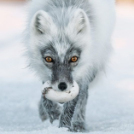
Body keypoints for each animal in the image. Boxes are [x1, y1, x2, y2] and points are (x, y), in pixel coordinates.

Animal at [25, 0, 115, 132]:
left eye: (74, 58)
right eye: (49, 59)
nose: (62, 86)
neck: (62, 16)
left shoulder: (81, 75)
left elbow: (72, 106)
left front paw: (64, 128)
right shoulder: (45, 74)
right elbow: (46, 98)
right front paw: (53, 115)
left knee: (83, 98)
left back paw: (78, 124)